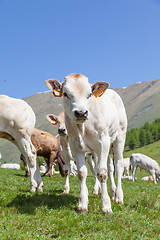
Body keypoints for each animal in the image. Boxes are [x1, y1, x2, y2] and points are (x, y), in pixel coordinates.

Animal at [45, 73, 127, 214]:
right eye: (65, 93)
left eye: (89, 94)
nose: (81, 112)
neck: (82, 128)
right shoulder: (75, 146)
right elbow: (82, 173)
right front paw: (82, 204)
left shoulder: (103, 142)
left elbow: (102, 173)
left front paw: (106, 206)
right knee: (107, 166)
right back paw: (112, 192)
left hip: (119, 137)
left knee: (117, 165)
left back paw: (118, 197)